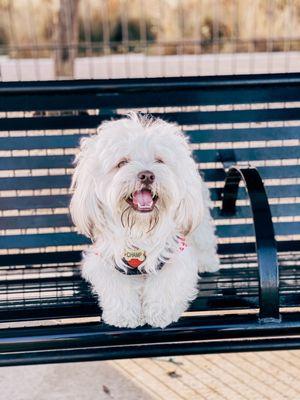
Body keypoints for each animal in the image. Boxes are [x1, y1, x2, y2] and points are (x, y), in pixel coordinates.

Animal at [71, 113, 219, 328]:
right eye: (122, 163)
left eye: (160, 160)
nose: (147, 175)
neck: (140, 228)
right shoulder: (107, 260)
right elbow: (118, 288)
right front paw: (124, 315)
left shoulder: (175, 253)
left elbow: (166, 285)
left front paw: (159, 313)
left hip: (199, 223)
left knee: (205, 241)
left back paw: (208, 263)